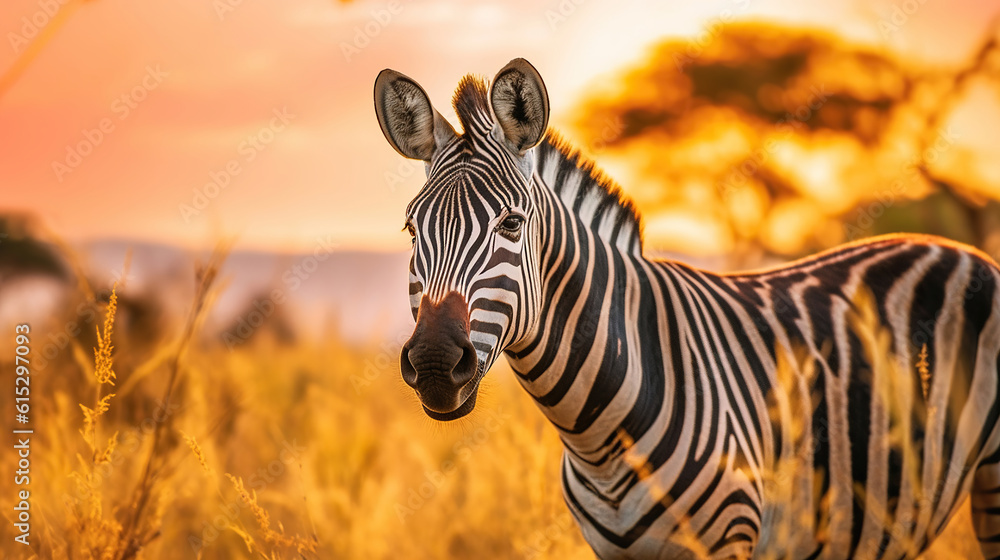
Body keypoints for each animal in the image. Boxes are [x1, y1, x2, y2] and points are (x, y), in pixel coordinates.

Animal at [373, 58, 1000, 559]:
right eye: (410, 230)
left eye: (510, 224)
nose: (433, 363)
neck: (598, 434)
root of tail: (961, 248)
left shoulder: (731, 539)